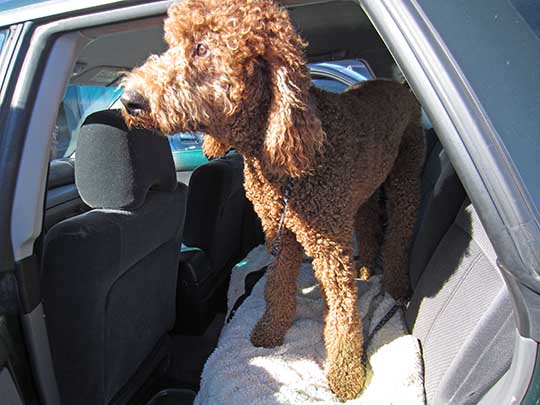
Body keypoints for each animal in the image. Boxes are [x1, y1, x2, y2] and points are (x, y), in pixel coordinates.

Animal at [121, 0, 426, 398]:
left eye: (202, 48)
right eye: (172, 44)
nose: (129, 100)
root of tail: (401, 86)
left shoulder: (329, 245)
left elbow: (343, 312)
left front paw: (346, 374)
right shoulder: (280, 231)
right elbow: (278, 283)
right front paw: (272, 329)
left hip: (406, 174)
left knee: (401, 231)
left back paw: (395, 283)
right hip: (366, 187)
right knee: (369, 219)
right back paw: (366, 267)